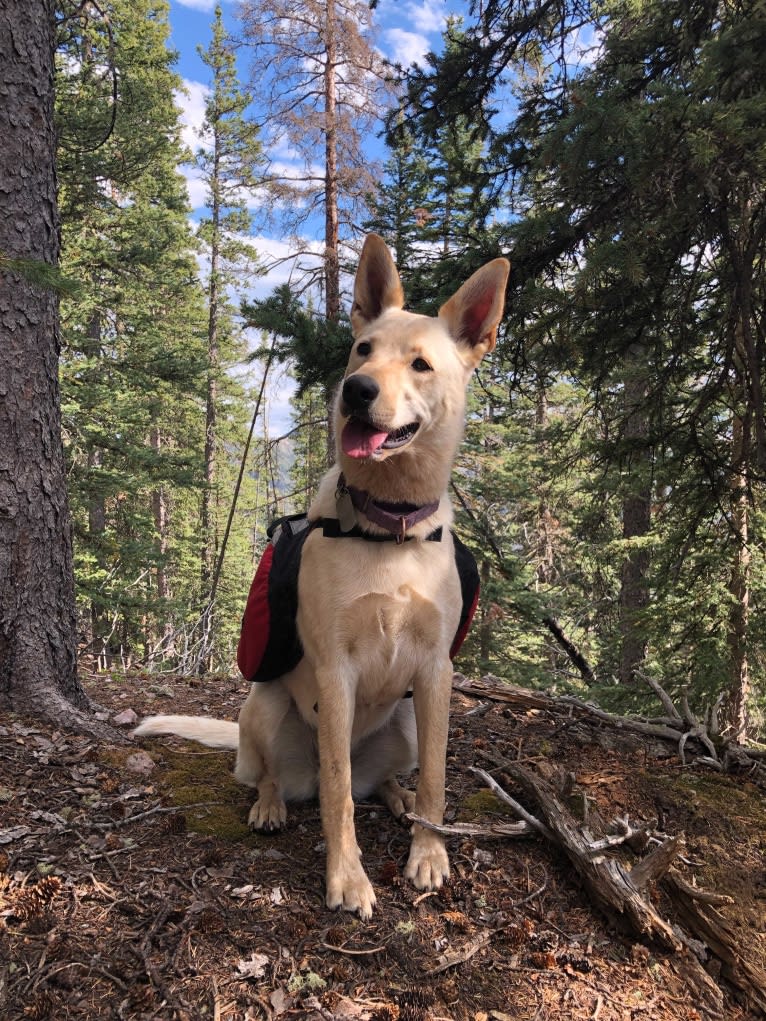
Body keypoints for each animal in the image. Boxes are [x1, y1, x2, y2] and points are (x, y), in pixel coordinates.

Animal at [134, 234, 510, 922]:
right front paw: (347, 877)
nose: (356, 390)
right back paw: (271, 803)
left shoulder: (436, 675)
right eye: (363, 349)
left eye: (420, 365)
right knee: (290, 777)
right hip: (263, 705)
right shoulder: (336, 671)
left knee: (378, 780)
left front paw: (428, 852)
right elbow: (337, 794)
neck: (390, 527)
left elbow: (438, 779)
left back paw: (394, 794)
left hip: (406, 722)